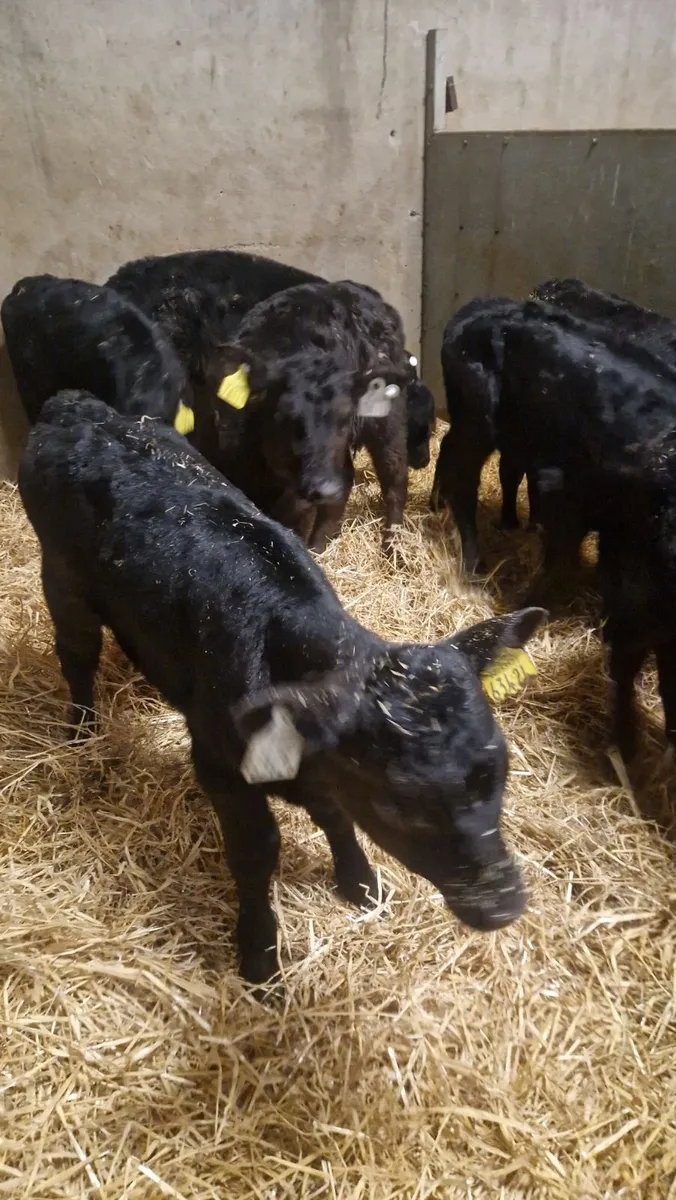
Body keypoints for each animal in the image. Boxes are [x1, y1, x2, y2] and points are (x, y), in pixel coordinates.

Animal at [19, 390, 547, 988]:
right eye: (400, 803)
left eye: (497, 769)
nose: (503, 905)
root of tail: (76, 406)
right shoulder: (220, 765)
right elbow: (256, 852)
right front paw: (259, 953)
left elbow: (335, 814)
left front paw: (360, 882)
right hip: (61, 578)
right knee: (76, 654)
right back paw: (82, 735)